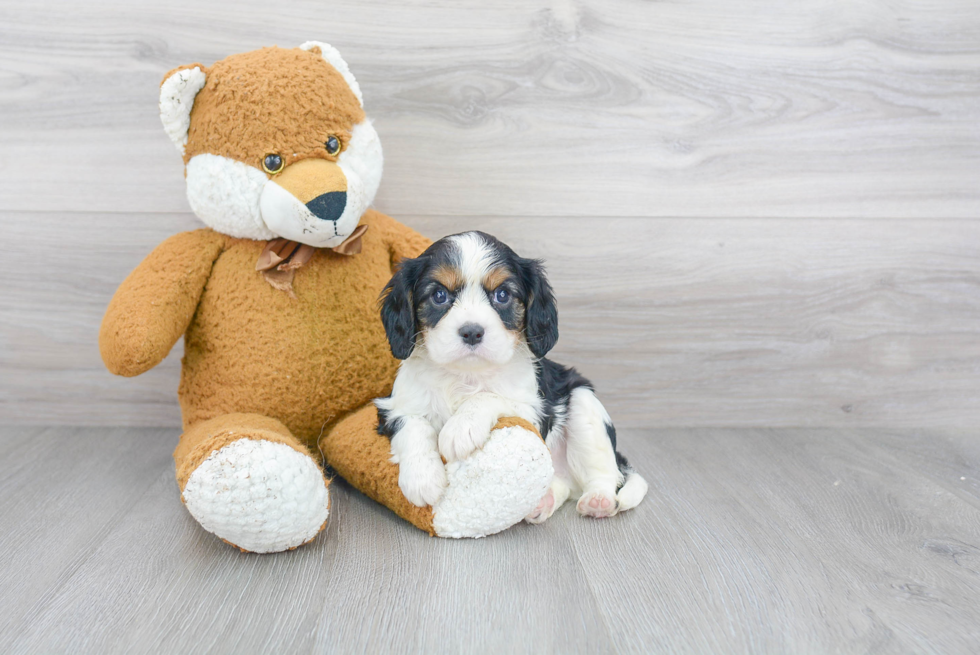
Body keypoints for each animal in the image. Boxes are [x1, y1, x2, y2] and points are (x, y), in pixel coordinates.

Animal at [374, 231, 644, 524]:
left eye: (502, 295)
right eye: (439, 295)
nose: (472, 332)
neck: (465, 375)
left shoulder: (533, 411)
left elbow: (488, 396)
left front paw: (460, 428)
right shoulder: (394, 406)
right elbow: (413, 425)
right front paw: (422, 477)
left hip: (584, 402)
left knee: (605, 472)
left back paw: (599, 501)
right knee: (562, 485)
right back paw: (543, 502)